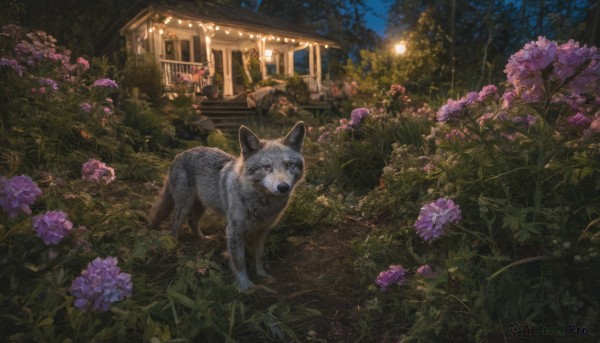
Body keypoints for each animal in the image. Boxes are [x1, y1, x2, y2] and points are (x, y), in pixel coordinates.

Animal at [150, 122, 304, 292]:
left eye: (288, 165)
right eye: (266, 166)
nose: (283, 187)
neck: (262, 203)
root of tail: (180, 154)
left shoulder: (263, 230)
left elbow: (259, 256)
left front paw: (262, 274)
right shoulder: (233, 232)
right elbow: (239, 262)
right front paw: (244, 285)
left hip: (201, 206)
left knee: (192, 222)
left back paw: (203, 239)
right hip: (184, 207)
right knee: (174, 227)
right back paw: (176, 248)